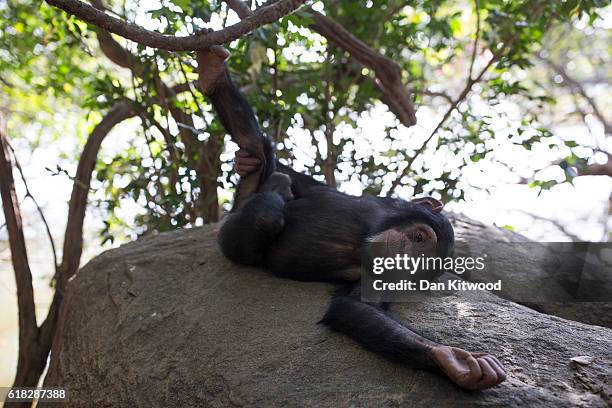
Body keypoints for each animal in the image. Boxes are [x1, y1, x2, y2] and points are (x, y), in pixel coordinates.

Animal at [196, 46, 506, 390]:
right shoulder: (377, 203)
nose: (400, 255)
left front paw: (450, 358)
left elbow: (358, 307)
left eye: (417, 265)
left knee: (263, 212)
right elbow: (308, 182)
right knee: (257, 151)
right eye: (419, 238)